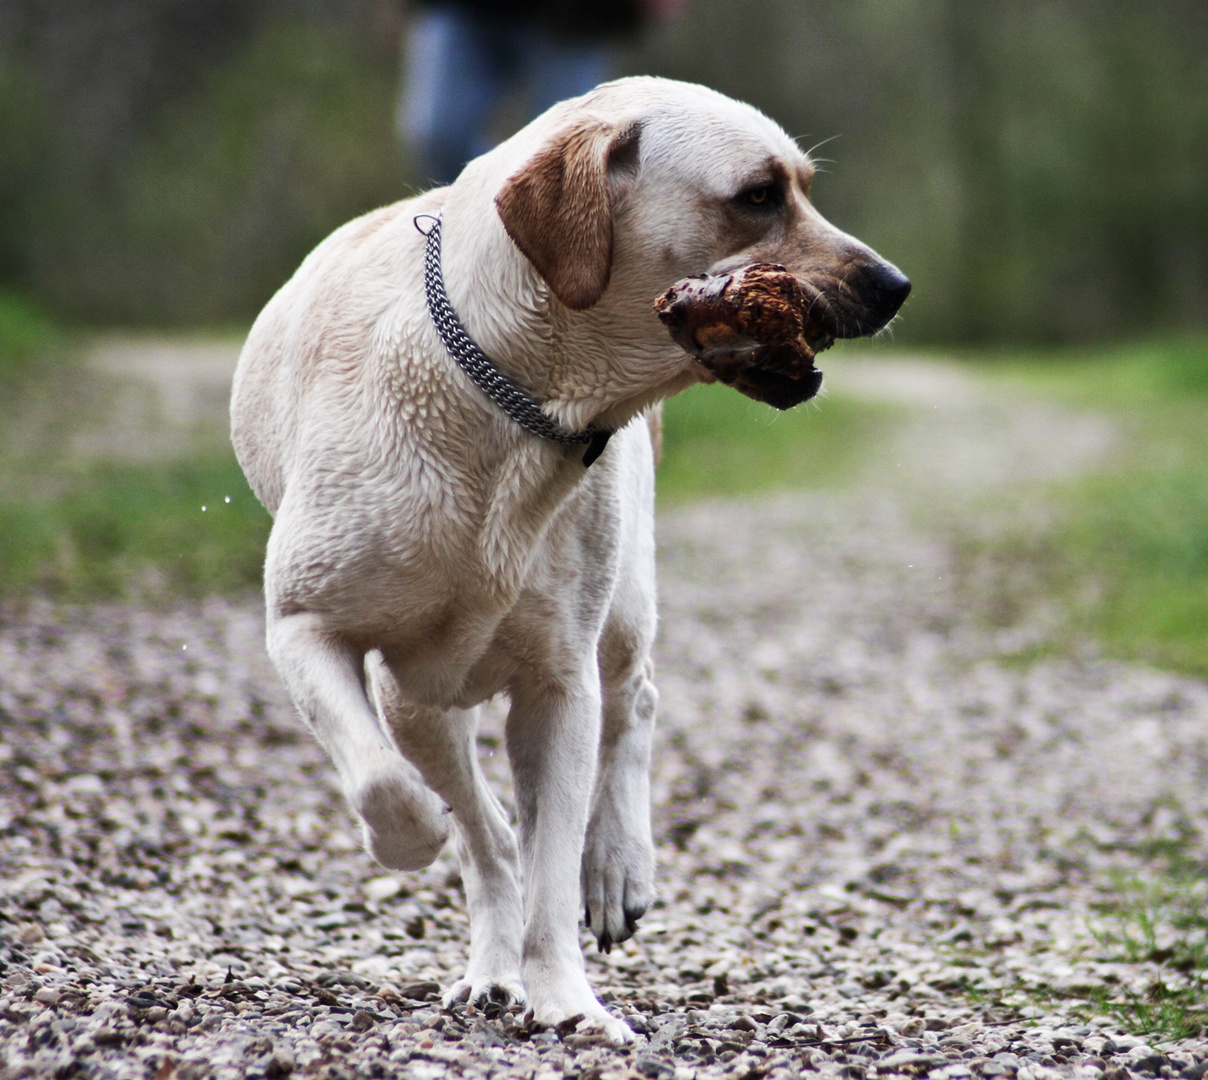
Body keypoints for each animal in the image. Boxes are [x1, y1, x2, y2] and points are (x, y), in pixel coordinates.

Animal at [228, 73, 908, 1038]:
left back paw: (618, 865)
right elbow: (401, 795)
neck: (512, 404)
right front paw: (422, 845)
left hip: (620, 611)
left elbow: (551, 860)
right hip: (419, 698)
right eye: (757, 196)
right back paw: (487, 957)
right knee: (479, 823)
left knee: (635, 704)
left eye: (803, 186)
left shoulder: (560, 682)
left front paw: (567, 1001)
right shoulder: (307, 629)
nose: (895, 287)